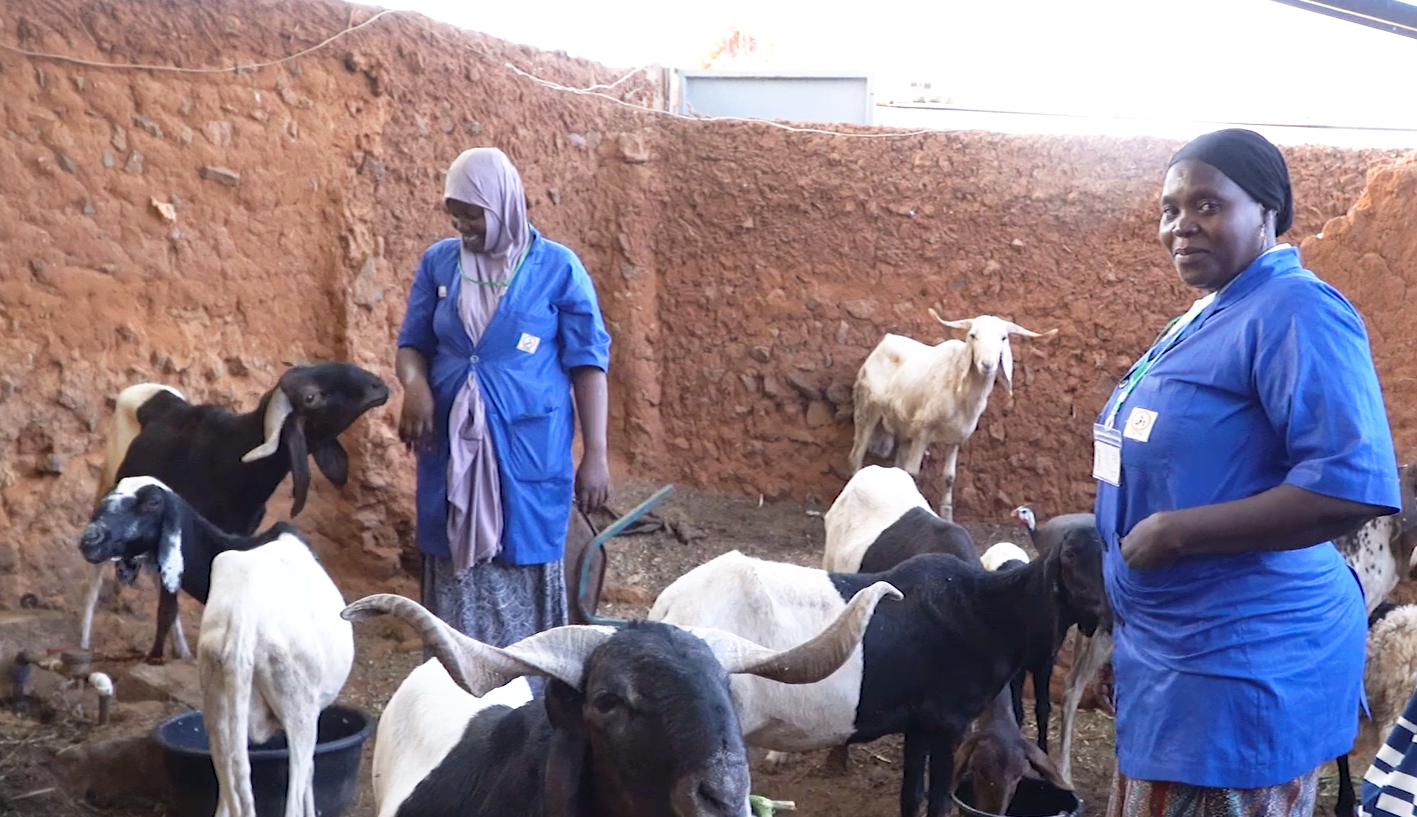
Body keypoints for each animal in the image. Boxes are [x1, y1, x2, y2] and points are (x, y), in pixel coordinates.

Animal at [77, 362, 388, 662]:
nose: (379, 385)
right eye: (311, 397)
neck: (234, 459)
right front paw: (158, 656)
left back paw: (181, 649)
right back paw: (84, 641)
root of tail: (145, 390)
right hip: (107, 483)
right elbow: (169, 600)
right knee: (95, 577)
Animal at [648, 543, 1099, 815]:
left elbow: (911, 796)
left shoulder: (921, 722)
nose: (1103, 609)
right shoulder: (948, 722)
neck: (980, 609)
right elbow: (937, 801)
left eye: (1018, 778)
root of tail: (668, 605)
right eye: (1069, 561)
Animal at [838, 308, 1054, 518]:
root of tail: (886, 340)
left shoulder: (956, 438)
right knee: (856, 455)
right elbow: (913, 472)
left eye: (1003, 338)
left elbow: (949, 477)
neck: (960, 388)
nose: (987, 365)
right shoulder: (923, 431)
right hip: (867, 407)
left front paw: (947, 516)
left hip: (904, 426)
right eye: (973, 335)